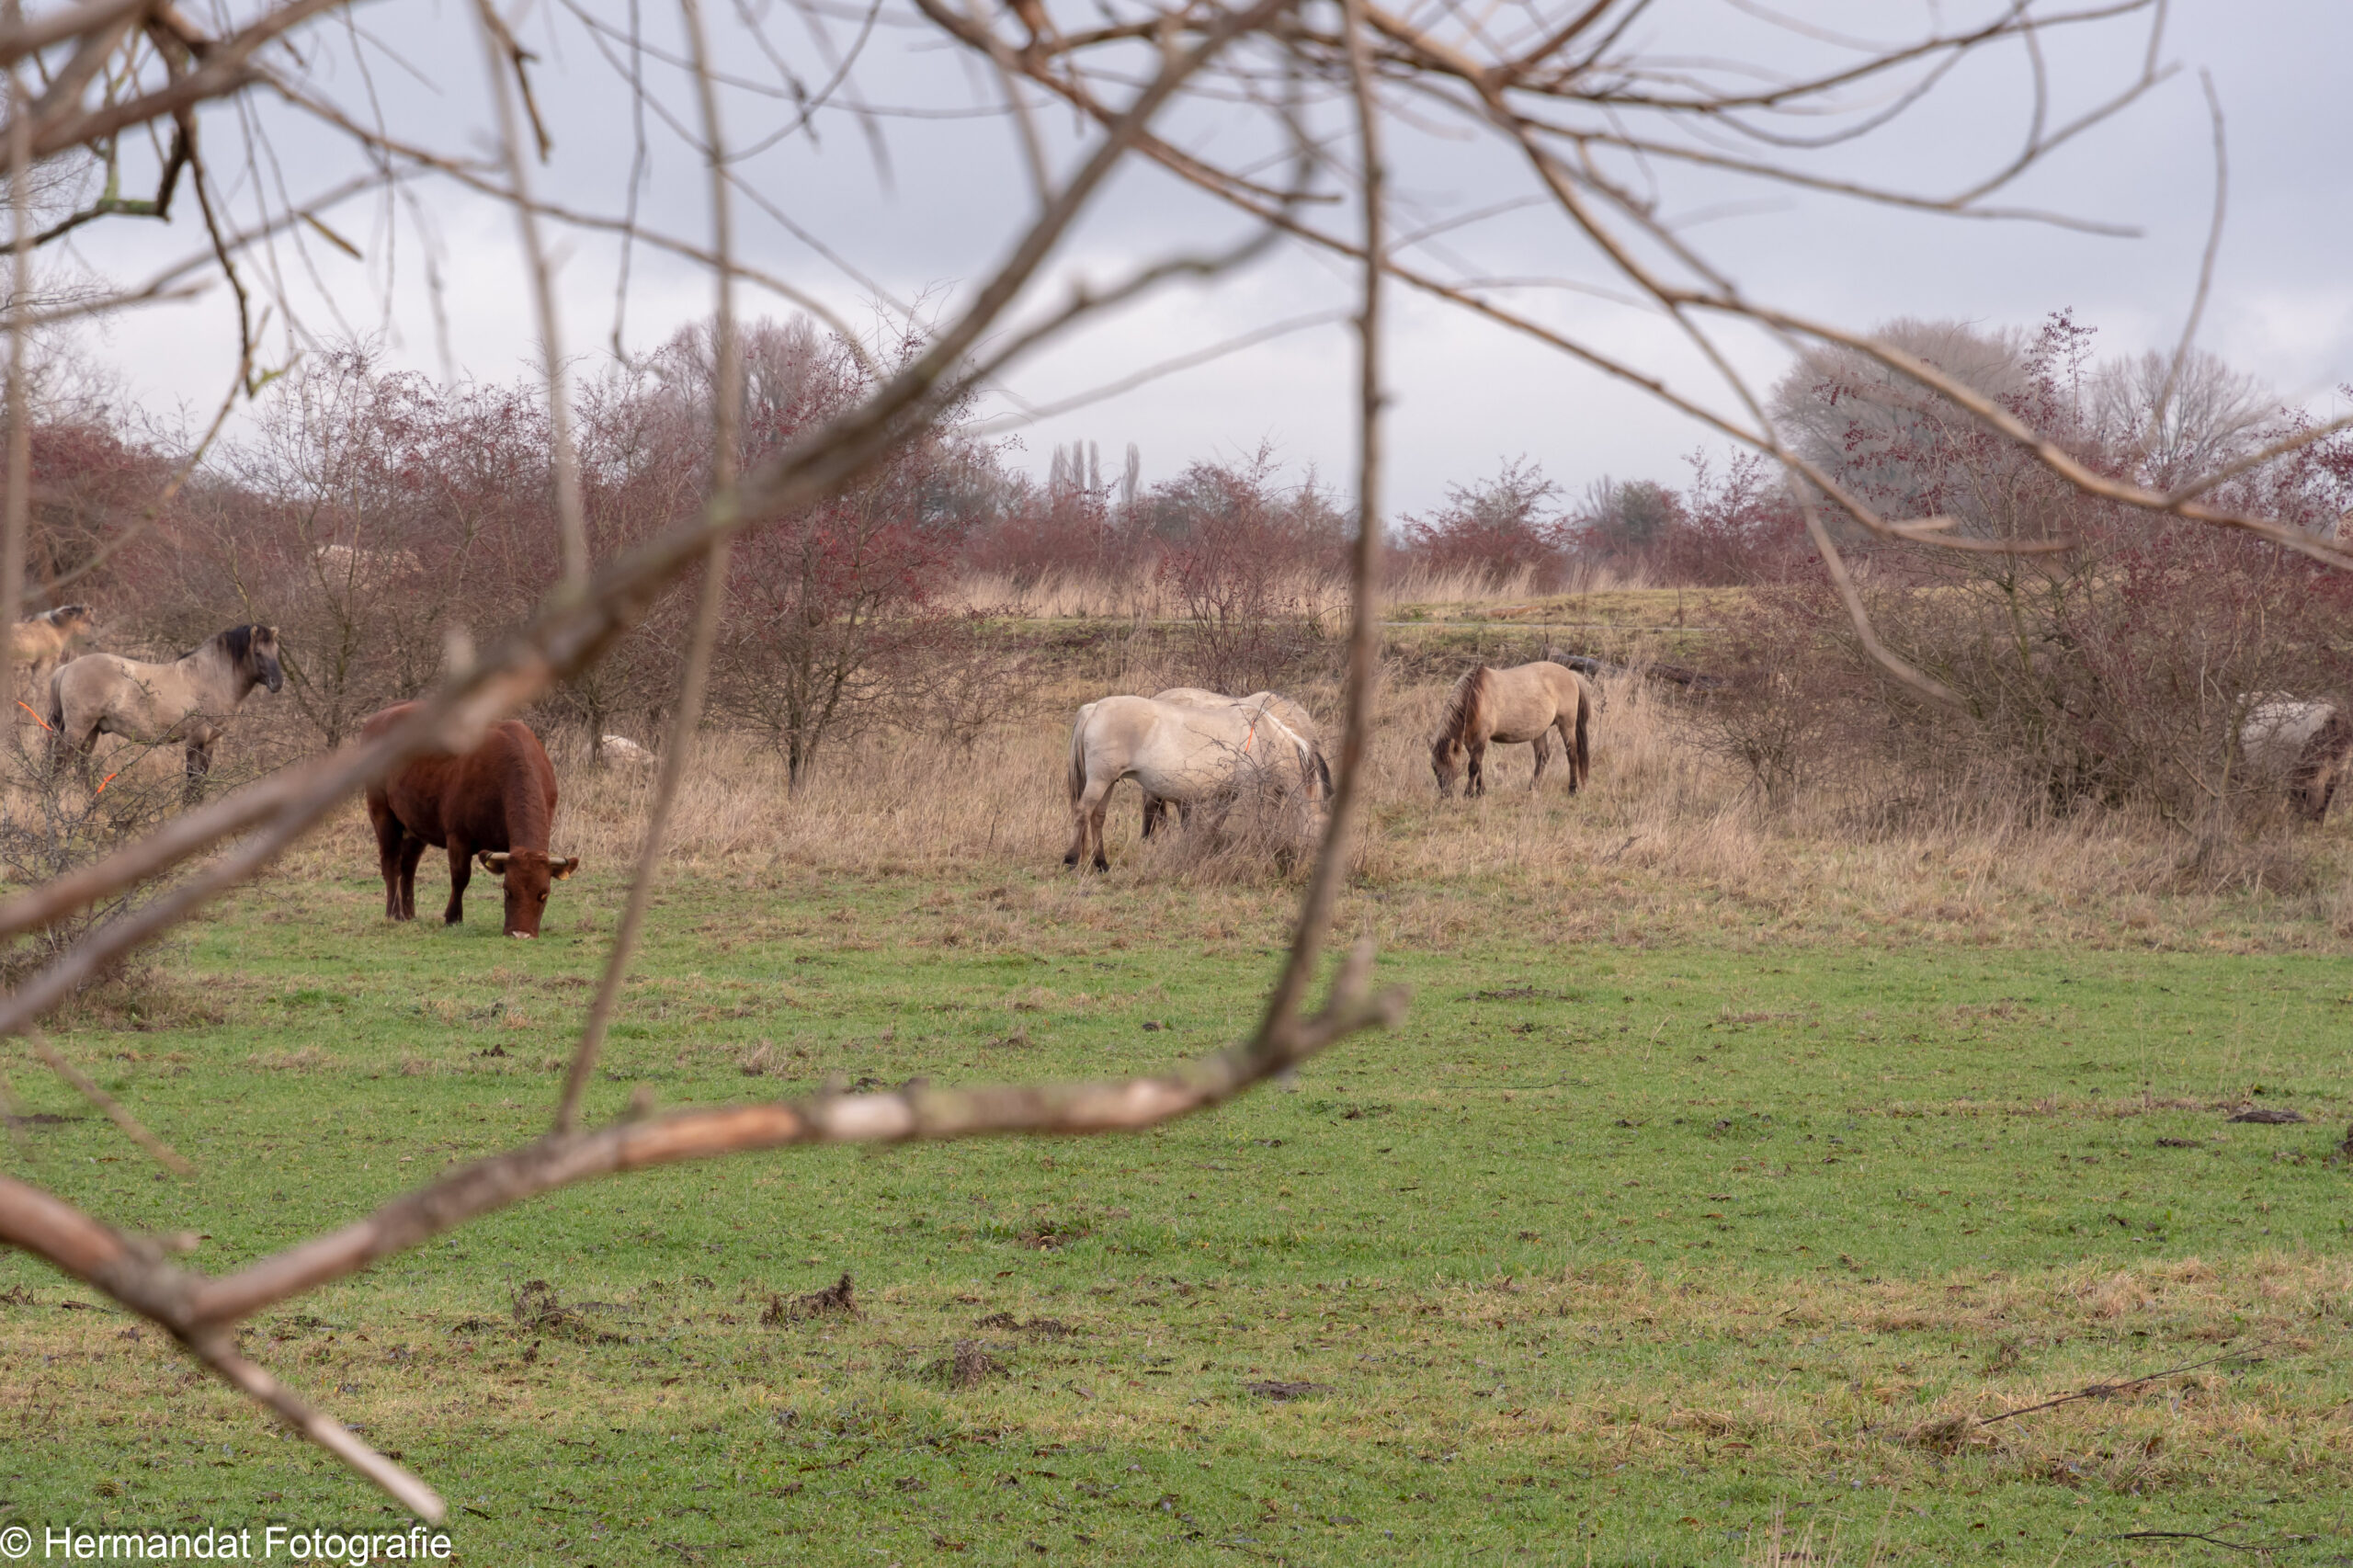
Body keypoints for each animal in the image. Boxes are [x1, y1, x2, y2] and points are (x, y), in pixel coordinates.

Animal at [48, 624, 281, 800]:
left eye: (277, 651)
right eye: (258, 652)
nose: (278, 683)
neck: (211, 678)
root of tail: (67, 668)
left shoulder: (211, 741)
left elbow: (201, 779)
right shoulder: (195, 739)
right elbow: (193, 780)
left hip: (92, 731)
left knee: (81, 767)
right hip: (78, 729)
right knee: (59, 763)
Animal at [361, 702, 580, 937]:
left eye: (544, 893)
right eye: (507, 890)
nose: (520, 934)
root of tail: (378, 717)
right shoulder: (458, 837)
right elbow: (460, 877)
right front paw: (453, 917)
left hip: (415, 823)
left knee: (408, 866)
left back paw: (410, 914)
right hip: (382, 814)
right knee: (391, 864)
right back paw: (394, 914)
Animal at [1430, 660, 1592, 798]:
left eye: (1449, 763)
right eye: (1434, 768)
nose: (1445, 794)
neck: (1477, 696)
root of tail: (1571, 674)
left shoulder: (1481, 738)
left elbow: (1473, 766)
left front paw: (1468, 794)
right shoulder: (1471, 740)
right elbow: (1479, 765)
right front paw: (1481, 792)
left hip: (1566, 724)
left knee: (1572, 754)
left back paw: (1572, 789)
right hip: (1540, 731)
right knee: (1542, 757)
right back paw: (1532, 788)